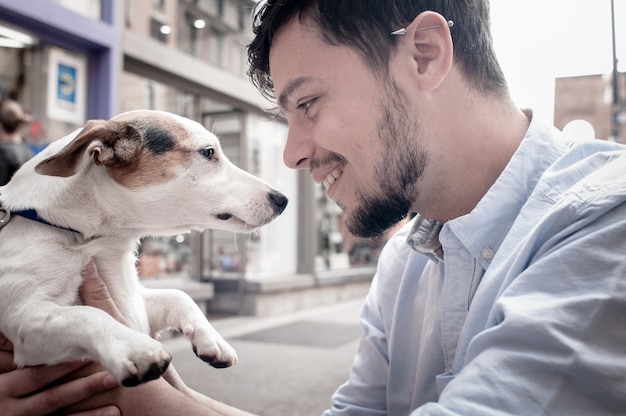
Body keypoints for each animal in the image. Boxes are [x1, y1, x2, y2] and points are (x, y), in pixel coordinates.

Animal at [0, 110, 288, 386]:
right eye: (208, 152)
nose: (283, 200)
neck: (89, 238)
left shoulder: (137, 302)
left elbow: (179, 295)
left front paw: (212, 338)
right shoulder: (23, 317)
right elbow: (88, 314)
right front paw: (134, 349)